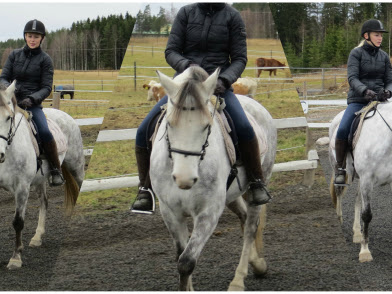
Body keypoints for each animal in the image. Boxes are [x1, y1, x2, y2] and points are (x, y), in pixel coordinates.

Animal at [0, 81, 85, 270]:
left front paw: (16, 258)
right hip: (40, 179)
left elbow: (18, 222)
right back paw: (37, 237)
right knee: (44, 202)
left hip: (76, 167)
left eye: (9, 118)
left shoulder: (22, 187)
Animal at [149, 66, 276, 290]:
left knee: (251, 227)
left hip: (259, 185)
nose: (184, 179)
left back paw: (238, 280)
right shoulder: (170, 211)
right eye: (169, 124)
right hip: (231, 195)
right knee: (244, 217)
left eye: (206, 125)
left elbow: (186, 261)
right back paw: (257, 264)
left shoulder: (209, 212)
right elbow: (180, 256)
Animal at [330, 102, 392, 262]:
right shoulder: (367, 179)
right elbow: (367, 214)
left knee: (358, 198)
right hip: (338, 168)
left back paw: (357, 232)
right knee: (339, 191)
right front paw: (364, 251)